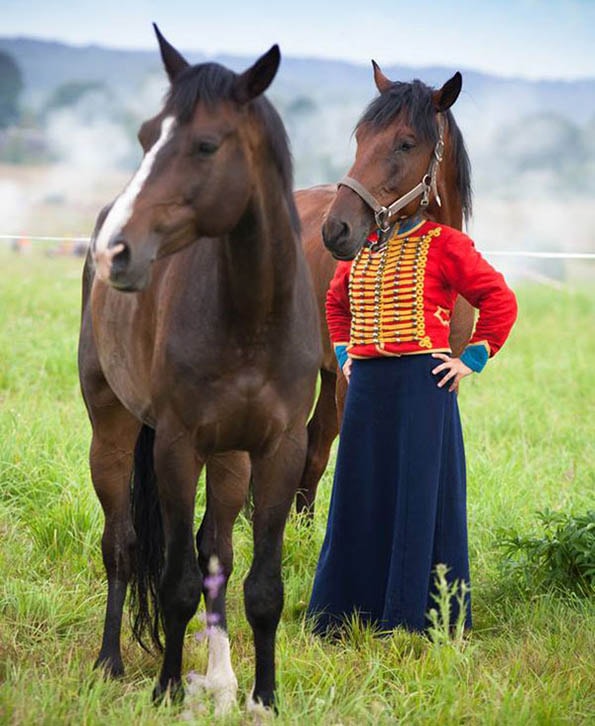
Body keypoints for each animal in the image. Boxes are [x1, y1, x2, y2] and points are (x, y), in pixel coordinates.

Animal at [80, 25, 322, 712]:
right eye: (145, 136)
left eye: (206, 144)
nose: (115, 252)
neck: (250, 319)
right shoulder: (177, 447)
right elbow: (176, 583)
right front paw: (165, 688)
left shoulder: (280, 449)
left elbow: (259, 586)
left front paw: (263, 696)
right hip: (112, 433)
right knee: (123, 546)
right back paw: (110, 660)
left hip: (230, 458)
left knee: (217, 551)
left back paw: (220, 678)